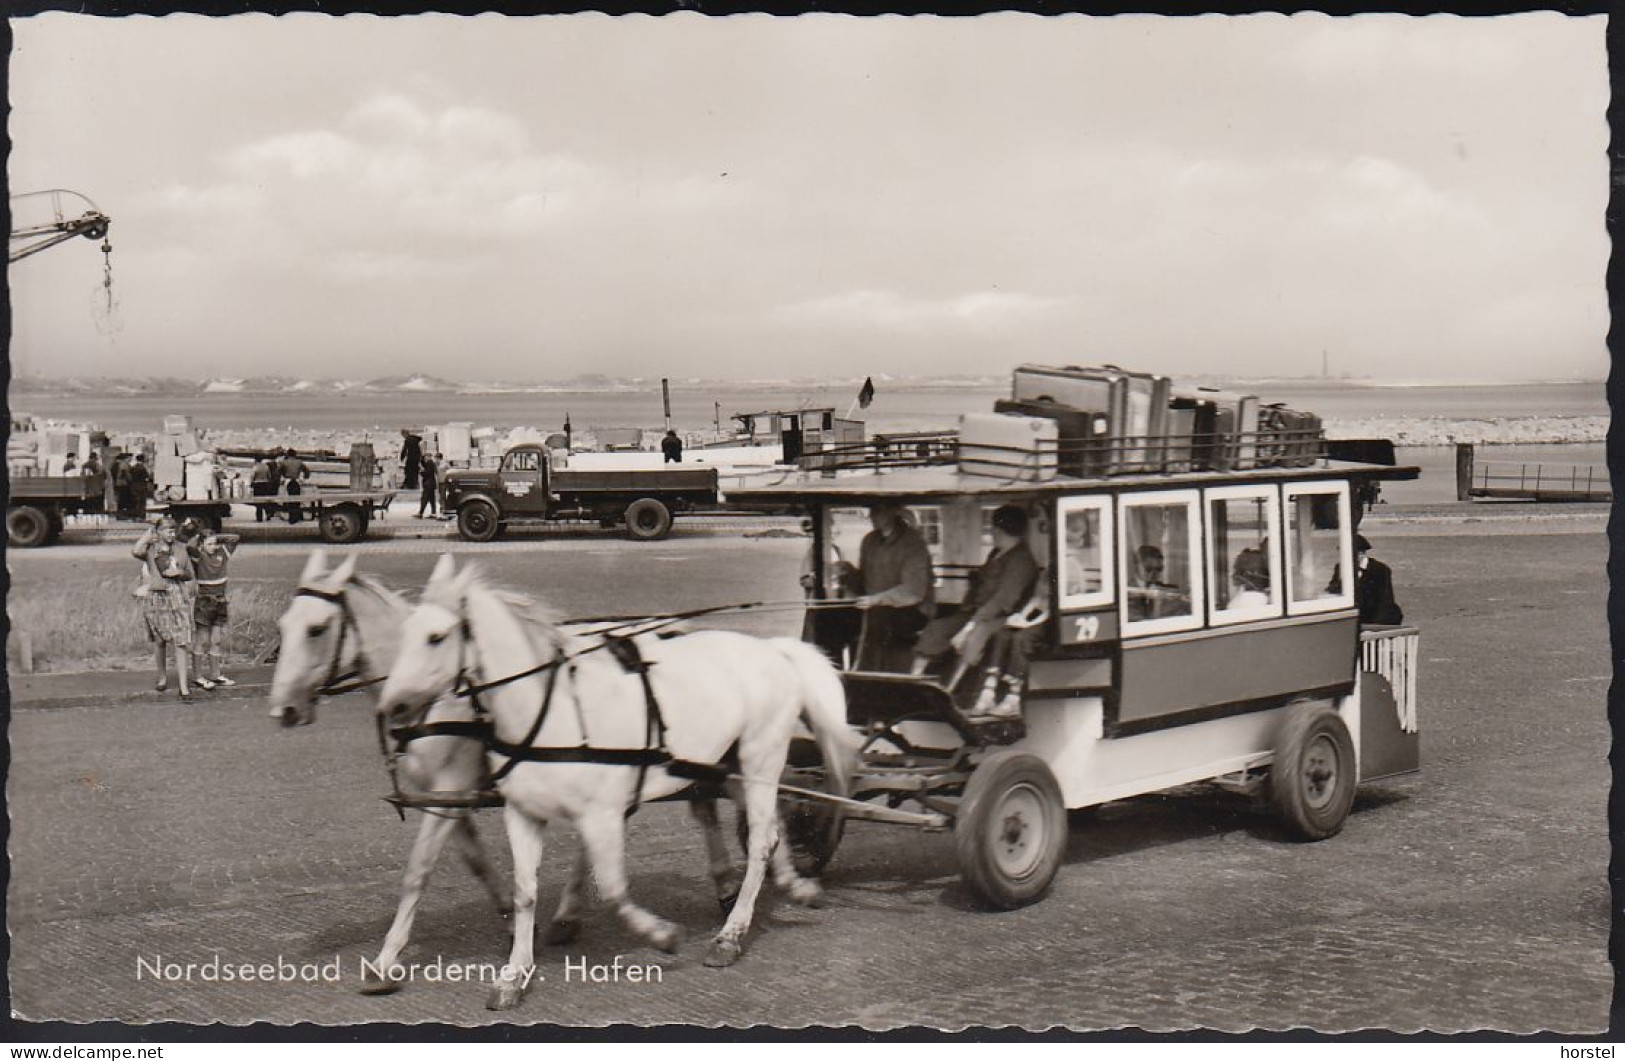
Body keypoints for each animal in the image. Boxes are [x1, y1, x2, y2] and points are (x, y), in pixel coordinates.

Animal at [273, 545, 760, 994]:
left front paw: (386, 959)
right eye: (282, 628)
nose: (283, 710)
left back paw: (727, 890)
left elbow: (418, 870)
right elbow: (476, 862)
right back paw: (575, 913)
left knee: (704, 807)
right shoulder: (447, 795)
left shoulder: (453, 786)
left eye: (316, 629)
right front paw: (511, 918)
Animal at [375, 555, 858, 1007]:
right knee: (769, 828)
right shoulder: (524, 813)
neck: (548, 712)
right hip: (722, 765)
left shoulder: (601, 813)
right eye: (405, 632)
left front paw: (659, 934)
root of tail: (774, 649)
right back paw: (794, 885)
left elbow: (612, 887)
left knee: (758, 840)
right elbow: (525, 891)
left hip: (761, 757)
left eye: (436, 637)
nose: (391, 708)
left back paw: (731, 934)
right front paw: (515, 974)